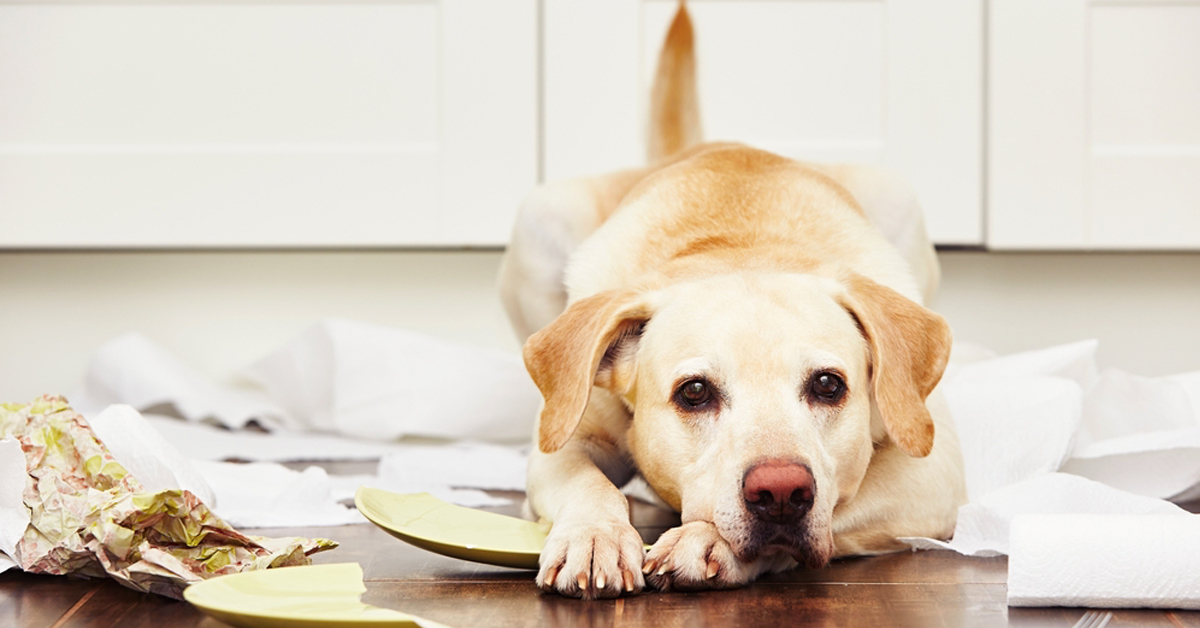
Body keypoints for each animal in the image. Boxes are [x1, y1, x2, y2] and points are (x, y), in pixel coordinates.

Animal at [496, 1, 964, 600]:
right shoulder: (566, 441)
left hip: (896, 194)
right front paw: (593, 533)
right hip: (540, 215)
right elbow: (585, 481)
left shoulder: (933, 472)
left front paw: (706, 542)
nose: (781, 492)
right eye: (694, 393)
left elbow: (845, 498)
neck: (738, 245)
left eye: (829, 385)